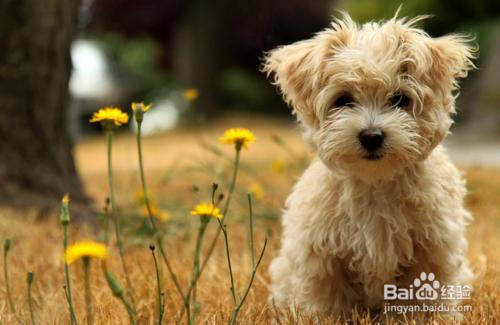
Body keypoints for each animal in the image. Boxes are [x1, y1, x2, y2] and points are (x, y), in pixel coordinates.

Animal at [264, 13, 474, 318]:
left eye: (399, 99)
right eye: (343, 100)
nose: (372, 136)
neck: (376, 182)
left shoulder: (435, 246)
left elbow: (426, 292)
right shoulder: (321, 252)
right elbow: (327, 298)